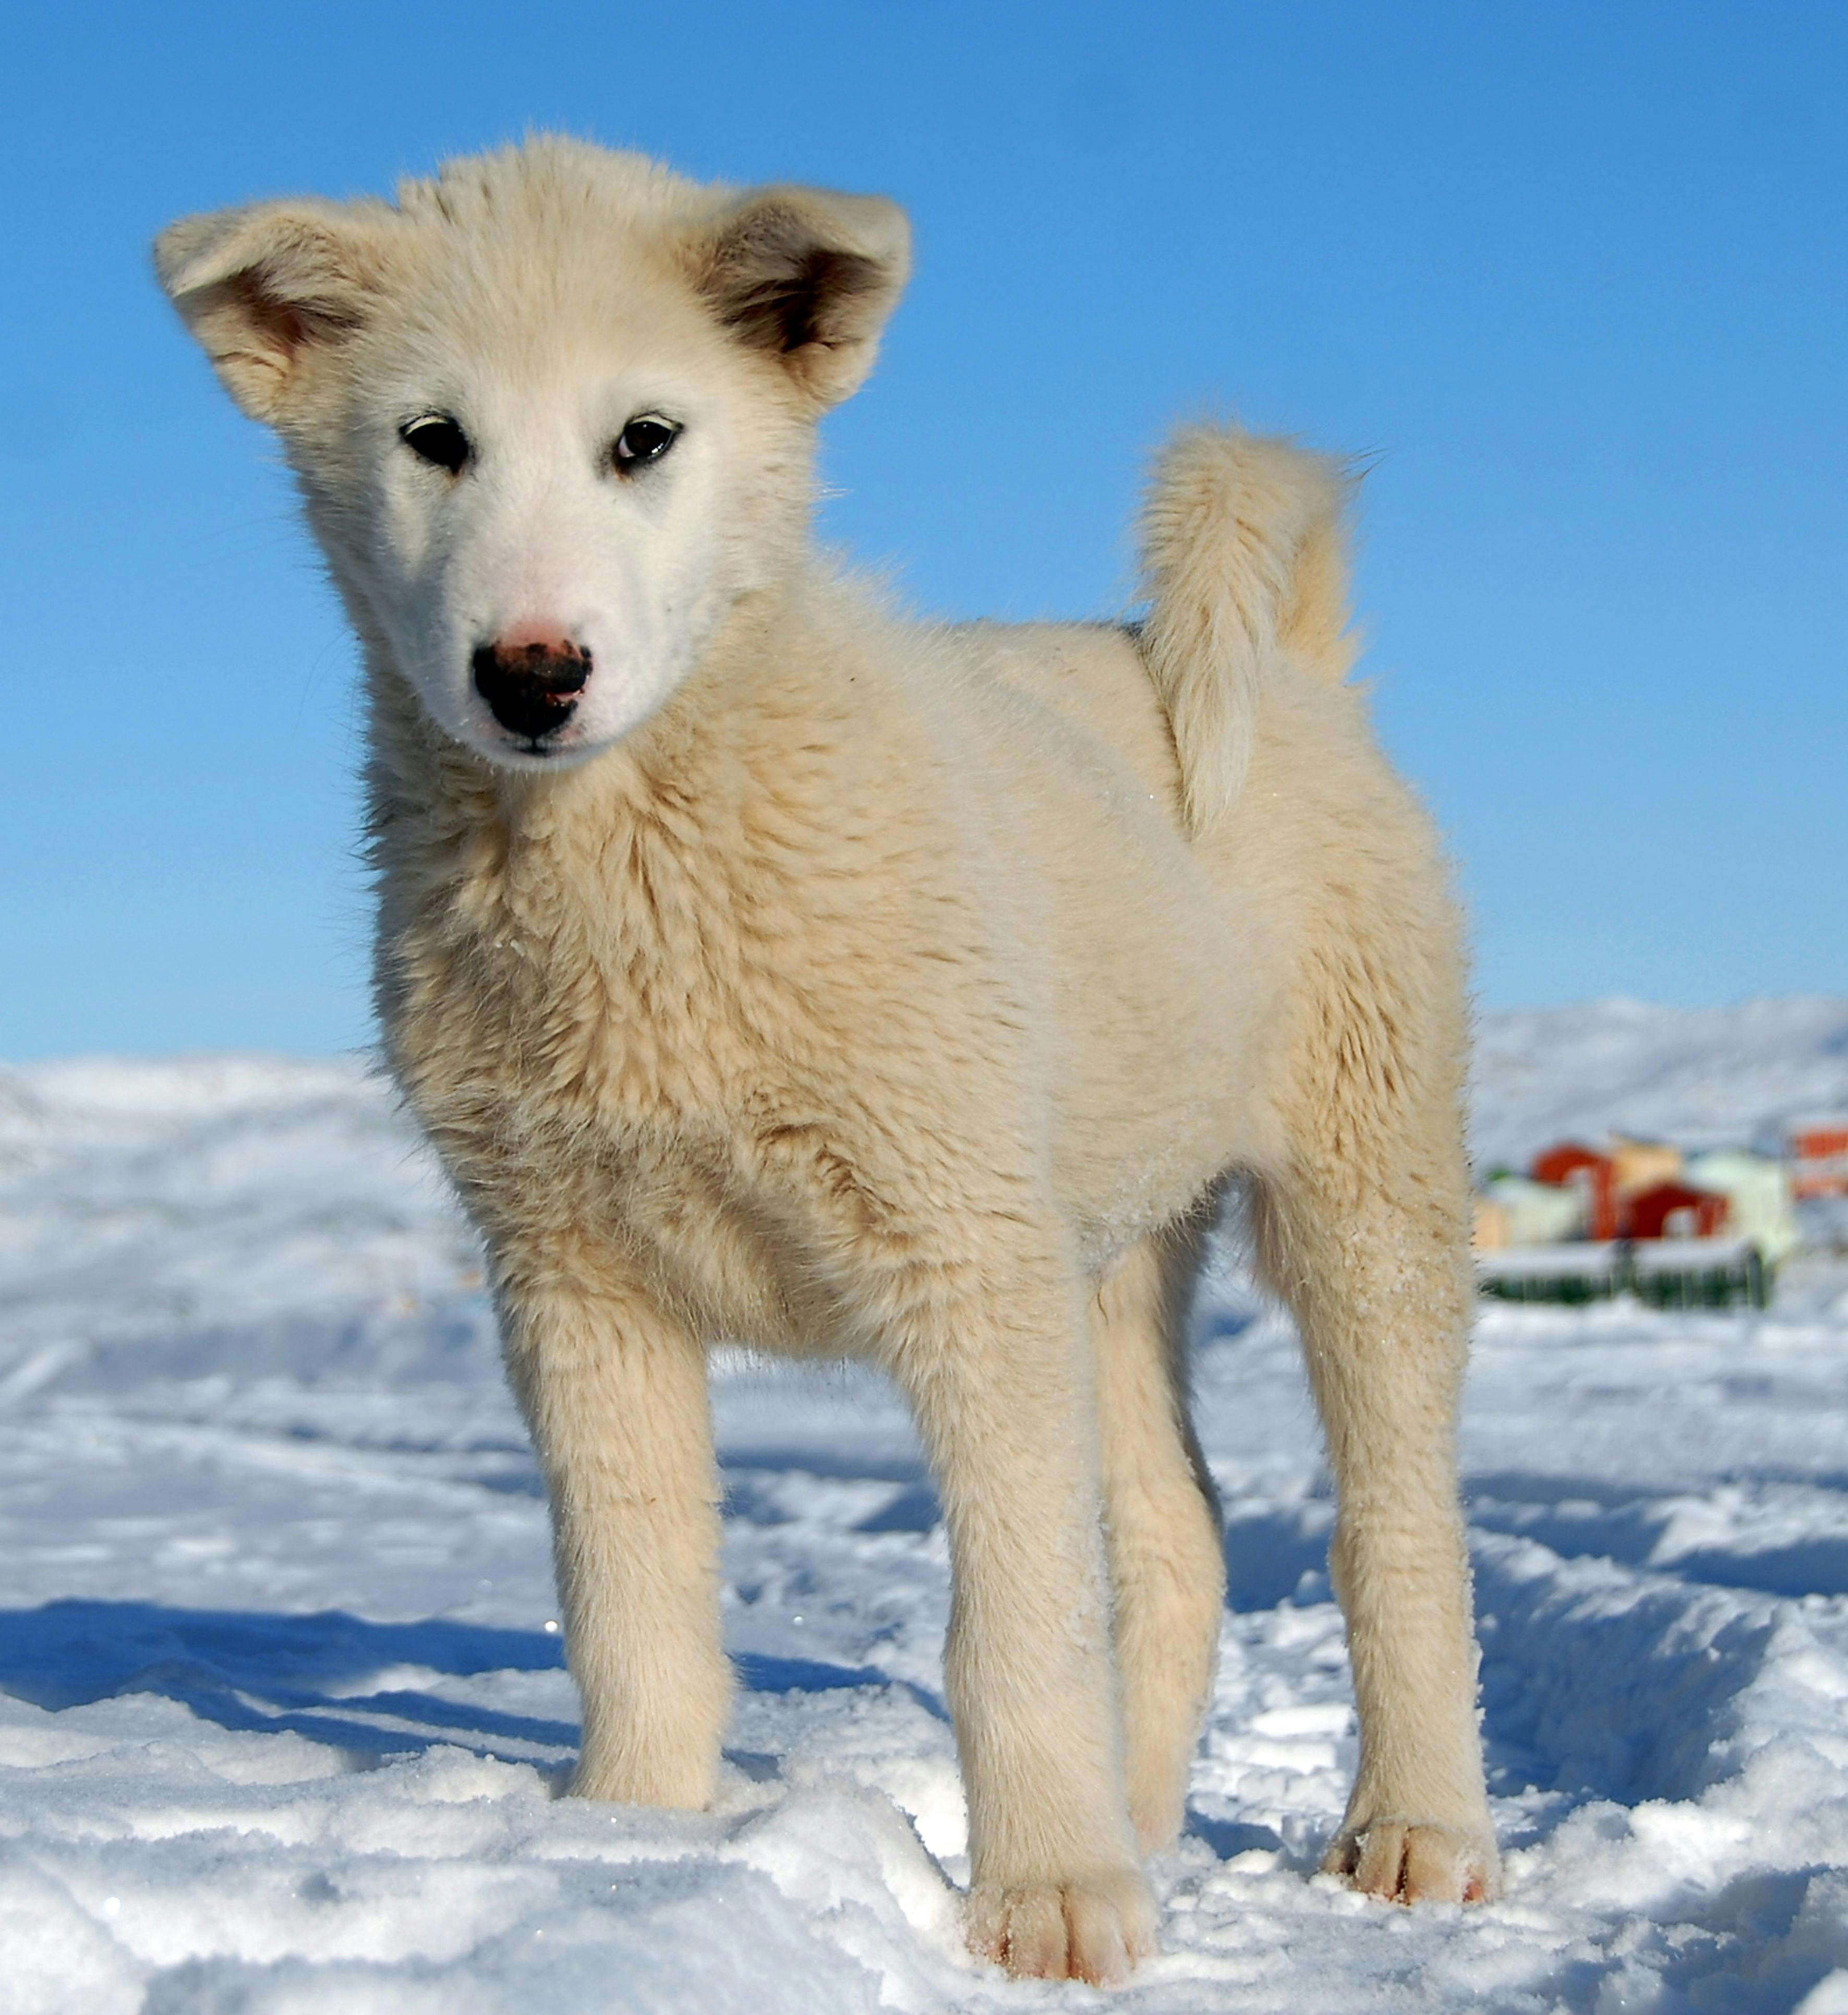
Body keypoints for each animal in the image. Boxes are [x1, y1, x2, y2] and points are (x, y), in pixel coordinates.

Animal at [158, 138, 1499, 1983]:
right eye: (433, 438)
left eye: (643, 438)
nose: (530, 671)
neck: (633, 861)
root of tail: (1297, 675)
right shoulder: (570, 1275)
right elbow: (630, 1591)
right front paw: (629, 1847)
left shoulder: (960, 1254)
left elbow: (1012, 1617)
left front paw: (1047, 1900)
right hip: (1107, 1241)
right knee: (1172, 1536)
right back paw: (1149, 1826)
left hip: (1358, 1179)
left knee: (1395, 1531)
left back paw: (1413, 1830)